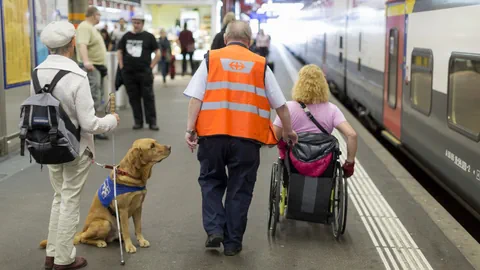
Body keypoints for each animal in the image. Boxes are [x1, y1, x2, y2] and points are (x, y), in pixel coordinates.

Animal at [39, 139, 171, 253]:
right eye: (152, 146)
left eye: (156, 142)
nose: (170, 147)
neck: (132, 175)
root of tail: (82, 230)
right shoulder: (123, 210)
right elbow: (127, 230)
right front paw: (129, 246)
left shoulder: (138, 207)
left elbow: (138, 227)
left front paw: (141, 240)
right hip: (105, 223)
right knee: (83, 238)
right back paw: (100, 242)